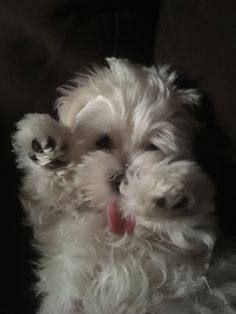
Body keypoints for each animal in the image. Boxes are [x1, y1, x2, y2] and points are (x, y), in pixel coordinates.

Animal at [12, 57, 236, 312]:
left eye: (152, 147)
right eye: (102, 141)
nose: (119, 179)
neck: (113, 222)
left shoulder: (192, 244)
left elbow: (186, 221)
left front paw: (165, 192)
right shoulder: (55, 223)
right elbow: (46, 193)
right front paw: (44, 141)